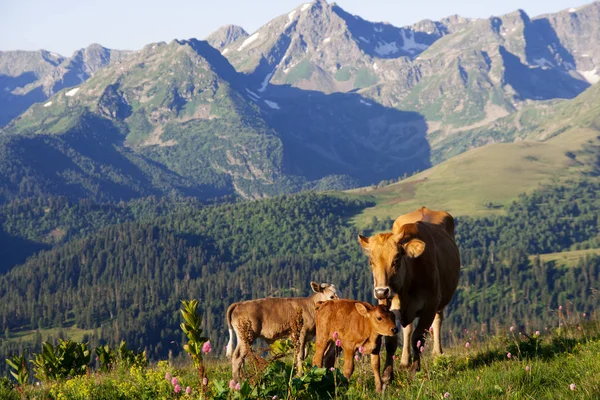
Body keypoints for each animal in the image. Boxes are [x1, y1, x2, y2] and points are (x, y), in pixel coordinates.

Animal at [358, 211, 462, 376]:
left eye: (396, 260)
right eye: (371, 262)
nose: (381, 291)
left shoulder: (430, 305)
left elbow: (418, 337)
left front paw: (415, 369)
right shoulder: (388, 307)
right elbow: (392, 340)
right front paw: (388, 374)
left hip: (440, 301)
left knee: (437, 321)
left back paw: (437, 354)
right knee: (408, 329)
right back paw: (404, 362)